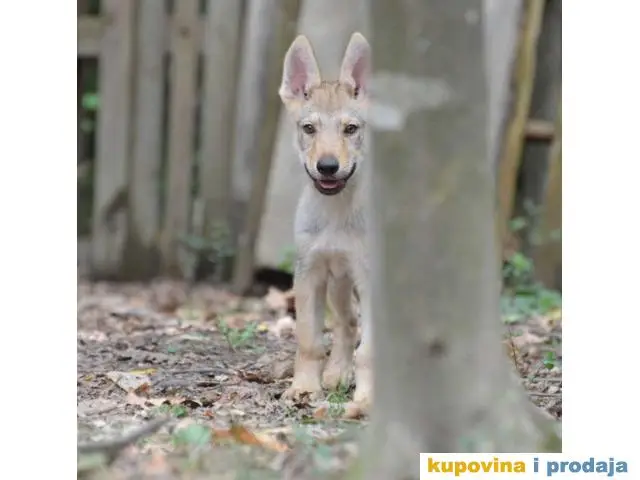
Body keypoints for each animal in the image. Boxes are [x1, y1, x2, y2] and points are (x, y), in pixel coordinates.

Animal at [278, 32, 373, 412]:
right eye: (309, 128)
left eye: (350, 129)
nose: (328, 167)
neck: (335, 214)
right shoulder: (311, 273)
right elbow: (309, 341)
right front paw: (305, 388)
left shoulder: (369, 276)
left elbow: (370, 351)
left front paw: (366, 400)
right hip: (339, 285)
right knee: (347, 324)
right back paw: (336, 374)